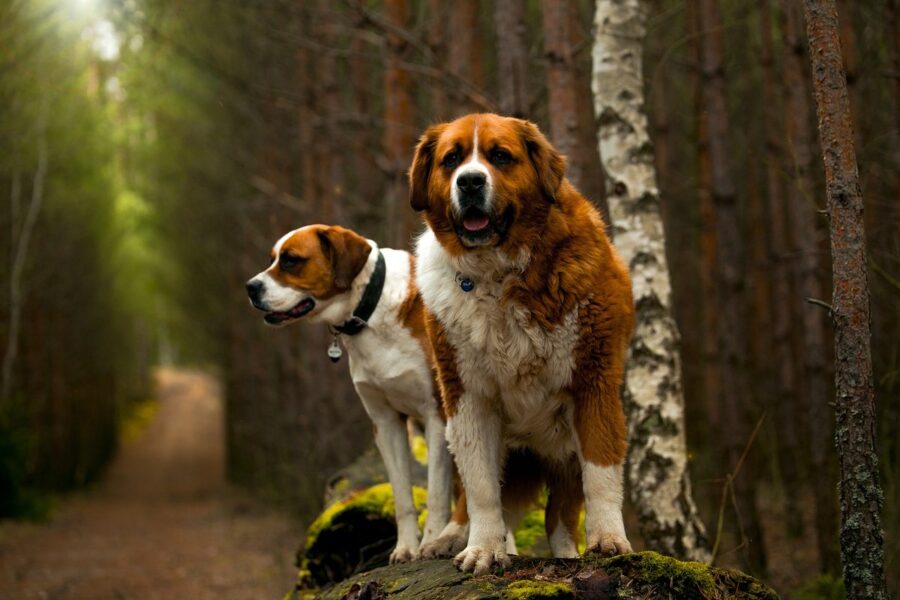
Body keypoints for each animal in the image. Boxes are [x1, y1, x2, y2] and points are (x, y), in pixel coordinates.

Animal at [244, 224, 454, 564]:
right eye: (273, 258)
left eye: (291, 260)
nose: (250, 287)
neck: (370, 311)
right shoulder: (386, 423)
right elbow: (401, 496)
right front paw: (406, 548)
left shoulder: (437, 416)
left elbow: (436, 493)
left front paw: (429, 543)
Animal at [408, 115, 632, 576]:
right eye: (452, 159)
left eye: (500, 156)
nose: (470, 181)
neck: (498, 273)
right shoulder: (467, 395)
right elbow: (480, 487)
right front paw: (483, 549)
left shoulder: (594, 381)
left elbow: (600, 471)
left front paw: (609, 540)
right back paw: (450, 536)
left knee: (560, 518)